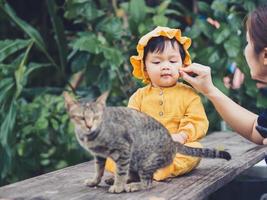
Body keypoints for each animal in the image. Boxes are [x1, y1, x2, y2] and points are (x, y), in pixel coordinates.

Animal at [63, 92, 231, 194]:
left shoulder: (124, 149)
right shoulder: (100, 155)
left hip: (145, 161)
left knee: (148, 183)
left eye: (96, 117)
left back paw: (130, 185)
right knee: (133, 174)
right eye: (81, 117)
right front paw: (94, 181)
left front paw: (118, 186)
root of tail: (172, 142)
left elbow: (121, 172)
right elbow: (99, 170)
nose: (89, 125)